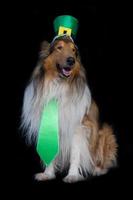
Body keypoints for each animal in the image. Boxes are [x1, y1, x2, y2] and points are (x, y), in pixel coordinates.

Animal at [21, 35, 117, 182]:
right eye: (59, 47)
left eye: (73, 51)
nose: (71, 60)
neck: (59, 85)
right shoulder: (49, 127)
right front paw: (47, 174)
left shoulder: (78, 127)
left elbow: (75, 154)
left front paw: (72, 175)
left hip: (105, 133)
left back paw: (97, 170)